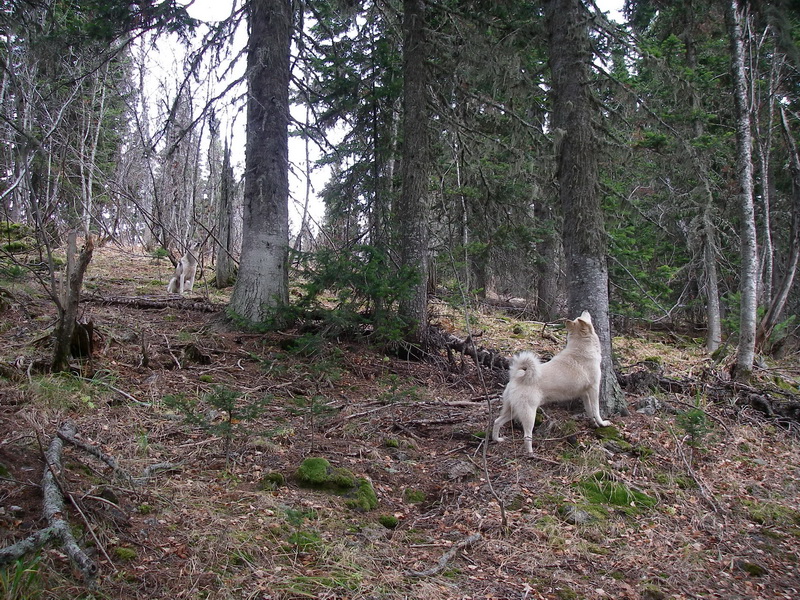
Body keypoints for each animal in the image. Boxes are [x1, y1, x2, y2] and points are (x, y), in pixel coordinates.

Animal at [492, 311, 611, 457]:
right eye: (582, 317)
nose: (586, 311)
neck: (581, 347)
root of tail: (516, 378)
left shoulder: (585, 394)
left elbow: (589, 410)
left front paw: (593, 424)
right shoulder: (594, 389)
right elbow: (596, 410)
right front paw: (602, 423)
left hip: (512, 410)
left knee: (497, 422)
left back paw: (497, 439)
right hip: (528, 414)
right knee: (526, 436)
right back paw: (531, 454)